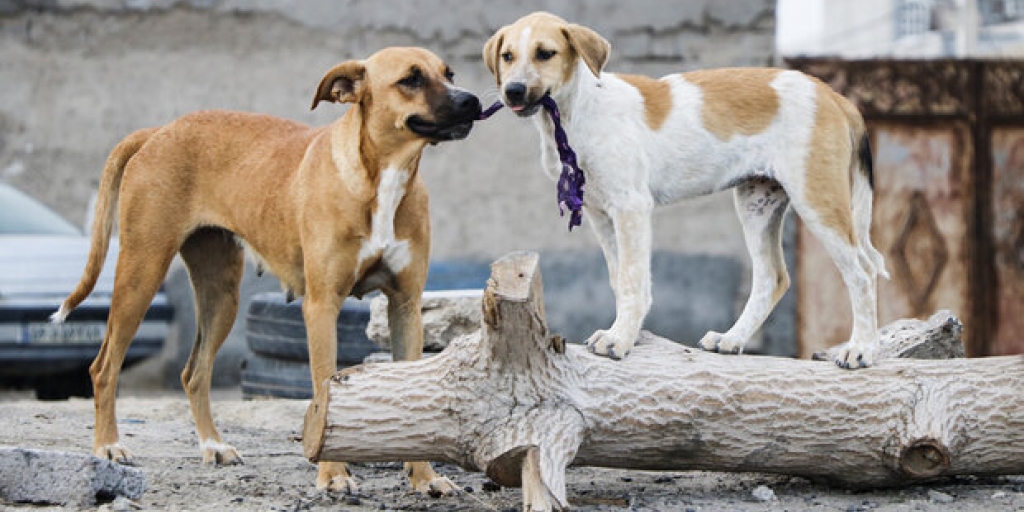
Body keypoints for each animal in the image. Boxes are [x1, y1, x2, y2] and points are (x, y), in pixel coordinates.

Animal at [50, 46, 475, 493]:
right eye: (410, 79)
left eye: (449, 74)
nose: (472, 101)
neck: (383, 177)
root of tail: (159, 130)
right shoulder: (322, 306)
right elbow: (324, 389)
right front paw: (333, 474)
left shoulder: (406, 306)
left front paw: (425, 477)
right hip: (141, 275)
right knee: (103, 367)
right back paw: (108, 446)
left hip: (221, 296)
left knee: (194, 373)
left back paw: (213, 445)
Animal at [483, 12, 884, 368]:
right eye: (508, 56)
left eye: (545, 53)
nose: (513, 91)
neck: (577, 111)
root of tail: (833, 95)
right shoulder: (600, 213)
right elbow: (618, 279)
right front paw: (622, 332)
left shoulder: (631, 207)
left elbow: (633, 280)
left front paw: (621, 339)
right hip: (757, 203)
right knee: (772, 276)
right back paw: (732, 339)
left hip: (817, 199)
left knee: (862, 273)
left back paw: (861, 349)